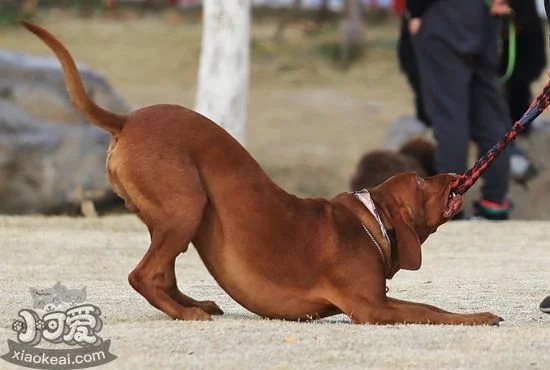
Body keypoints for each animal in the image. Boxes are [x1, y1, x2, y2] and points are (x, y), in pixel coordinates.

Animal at [21, 21, 504, 326]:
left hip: (175, 218)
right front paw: (480, 317)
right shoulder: (372, 308)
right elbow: (430, 311)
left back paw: (196, 303)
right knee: (144, 274)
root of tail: (126, 120)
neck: (374, 221)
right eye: (422, 181)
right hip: (186, 206)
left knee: (162, 272)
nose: (456, 174)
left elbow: (434, 309)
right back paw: (188, 313)